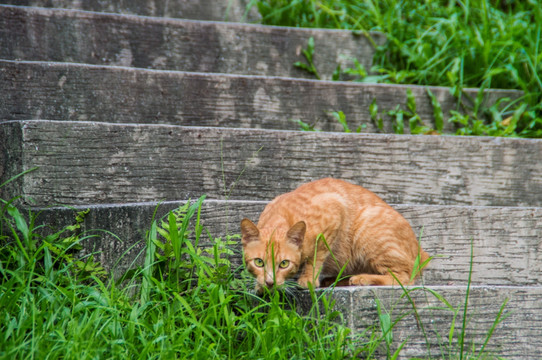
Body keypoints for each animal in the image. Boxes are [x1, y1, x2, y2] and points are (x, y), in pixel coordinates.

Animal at [240, 178, 432, 292]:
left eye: (284, 264)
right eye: (259, 262)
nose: (269, 282)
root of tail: (422, 253)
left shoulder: (334, 209)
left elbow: (316, 257)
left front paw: (308, 279)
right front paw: (260, 286)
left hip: (368, 231)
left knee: (404, 278)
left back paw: (361, 279)